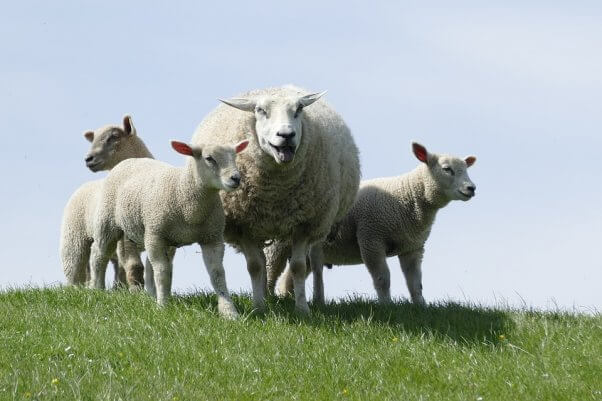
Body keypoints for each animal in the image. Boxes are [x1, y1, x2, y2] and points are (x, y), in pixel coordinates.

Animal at [59, 115, 152, 288]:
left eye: (114, 137)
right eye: (93, 140)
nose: (88, 159)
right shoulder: (125, 238)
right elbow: (135, 266)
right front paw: (137, 289)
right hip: (74, 239)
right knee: (75, 269)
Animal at [87, 137, 248, 316]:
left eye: (235, 156)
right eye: (209, 158)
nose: (236, 178)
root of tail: (129, 160)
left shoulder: (212, 238)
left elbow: (217, 273)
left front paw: (229, 312)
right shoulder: (156, 234)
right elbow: (163, 272)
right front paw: (163, 307)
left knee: (150, 265)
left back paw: (152, 295)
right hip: (108, 222)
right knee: (99, 254)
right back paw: (97, 289)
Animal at [191, 86, 360, 314]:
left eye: (299, 109)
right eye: (260, 110)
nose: (286, 135)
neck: (275, 192)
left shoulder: (305, 224)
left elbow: (299, 267)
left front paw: (302, 309)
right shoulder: (244, 225)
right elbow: (255, 266)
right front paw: (259, 307)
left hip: (322, 221)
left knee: (315, 261)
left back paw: (318, 299)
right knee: (266, 262)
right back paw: (266, 294)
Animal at [270, 142, 474, 304]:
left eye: (466, 170)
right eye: (447, 169)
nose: (471, 188)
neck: (408, 197)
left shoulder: (412, 248)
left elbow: (416, 283)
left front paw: (420, 307)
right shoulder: (371, 238)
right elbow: (383, 278)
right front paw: (386, 306)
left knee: (289, 278)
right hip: (278, 244)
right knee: (272, 269)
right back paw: (270, 298)